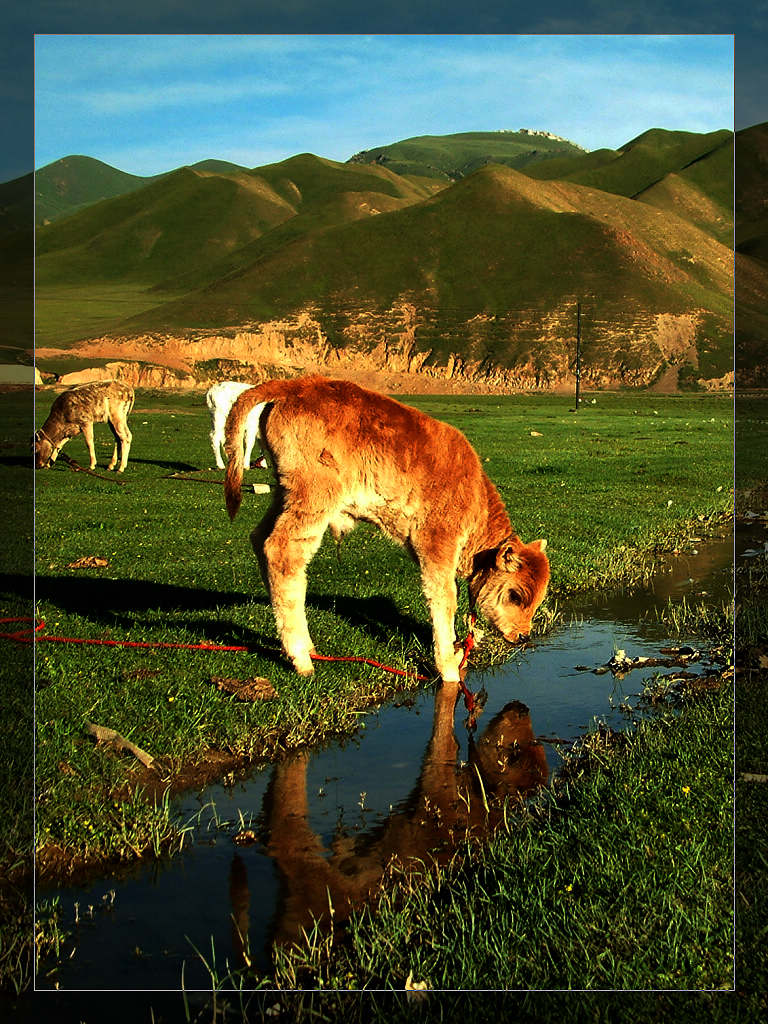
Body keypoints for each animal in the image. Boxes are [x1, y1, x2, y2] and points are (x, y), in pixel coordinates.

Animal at [225, 376, 548, 679]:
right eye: (515, 595)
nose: (523, 635)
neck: (475, 497)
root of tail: (295, 386)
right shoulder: (437, 545)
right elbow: (444, 600)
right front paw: (448, 668)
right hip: (314, 498)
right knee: (282, 551)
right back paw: (301, 658)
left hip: (285, 493)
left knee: (260, 539)